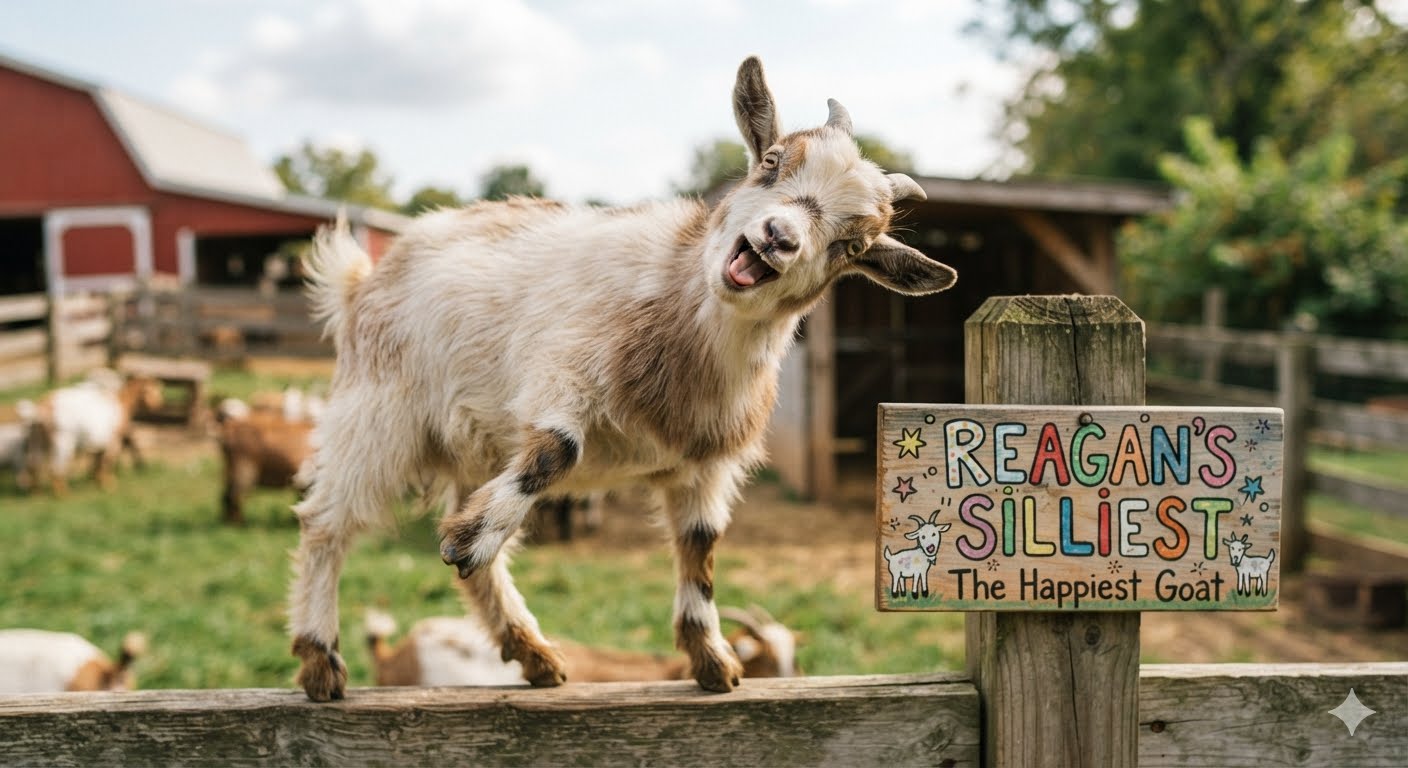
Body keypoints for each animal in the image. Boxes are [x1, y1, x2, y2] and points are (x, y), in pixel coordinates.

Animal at [16, 370, 162, 495]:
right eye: (150, 390)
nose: (158, 405)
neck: (121, 403)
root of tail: (40, 409)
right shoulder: (112, 441)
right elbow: (106, 462)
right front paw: (109, 486)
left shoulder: (98, 445)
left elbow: (96, 464)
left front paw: (97, 483)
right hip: (62, 441)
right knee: (55, 467)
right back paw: (63, 495)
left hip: (36, 438)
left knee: (34, 464)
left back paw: (36, 494)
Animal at [287, 56, 956, 701]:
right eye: (771, 162)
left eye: (854, 245)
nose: (778, 238)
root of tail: (362, 281)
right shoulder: (562, 373)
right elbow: (558, 450)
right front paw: (468, 540)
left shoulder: (705, 463)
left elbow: (700, 548)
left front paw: (712, 662)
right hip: (378, 411)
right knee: (326, 522)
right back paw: (323, 659)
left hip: (474, 446)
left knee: (476, 564)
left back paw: (533, 652)